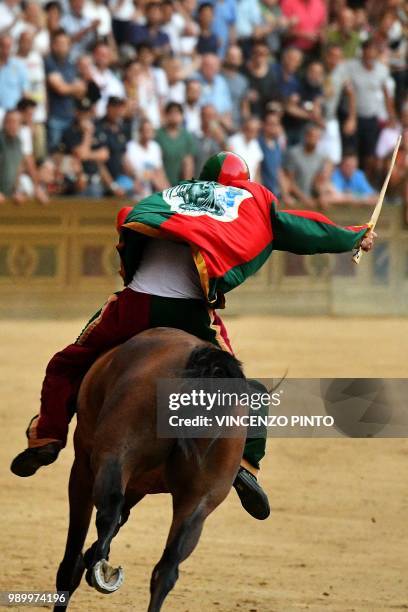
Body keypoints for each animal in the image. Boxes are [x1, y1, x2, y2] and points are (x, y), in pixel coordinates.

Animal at [53, 328, 245, 608]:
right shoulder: (139, 485)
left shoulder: (84, 468)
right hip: (200, 500)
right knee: (167, 567)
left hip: (113, 455)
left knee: (108, 510)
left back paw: (100, 568)